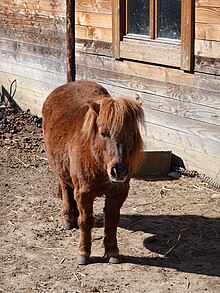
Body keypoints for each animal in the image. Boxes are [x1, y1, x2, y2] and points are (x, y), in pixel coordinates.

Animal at [42, 80, 144, 264]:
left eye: (131, 134)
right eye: (104, 133)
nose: (119, 171)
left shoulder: (117, 194)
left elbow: (111, 222)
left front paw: (112, 252)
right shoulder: (84, 194)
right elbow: (86, 222)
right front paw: (83, 253)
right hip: (61, 170)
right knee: (66, 189)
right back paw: (68, 217)